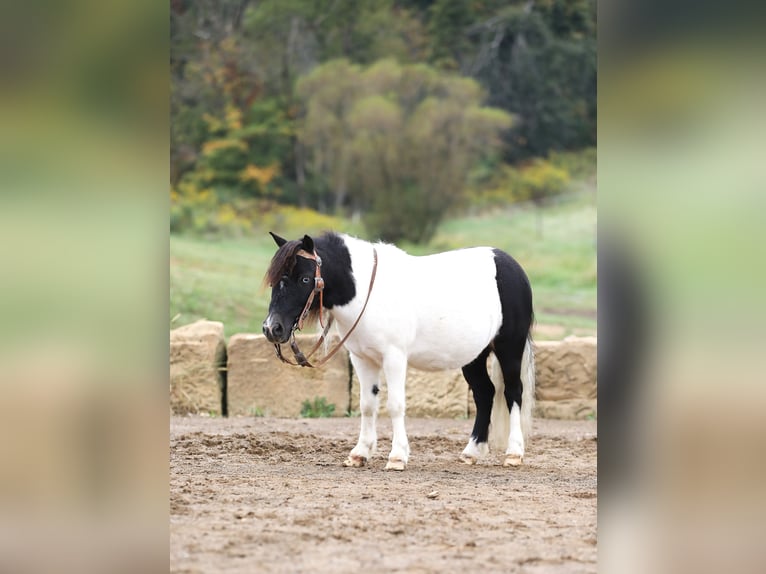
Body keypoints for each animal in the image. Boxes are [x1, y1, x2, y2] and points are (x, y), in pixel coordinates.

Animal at [262, 233, 536, 472]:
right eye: (275, 280)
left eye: (305, 279)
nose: (271, 328)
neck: (367, 293)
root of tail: (511, 266)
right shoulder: (362, 359)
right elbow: (367, 405)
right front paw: (359, 454)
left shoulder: (394, 358)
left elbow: (395, 405)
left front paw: (397, 457)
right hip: (474, 356)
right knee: (485, 393)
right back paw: (472, 452)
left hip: (509, 348)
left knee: (513, 392)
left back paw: (514, 453)